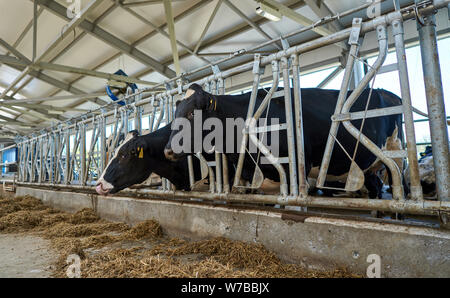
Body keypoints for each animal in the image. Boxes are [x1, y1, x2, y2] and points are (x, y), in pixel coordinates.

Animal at [165, 84, 408, 198]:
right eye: (176, 113)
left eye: (192, 114)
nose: (168, 150)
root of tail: (387, 93)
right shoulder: (248, 172)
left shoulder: (298, 166)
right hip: (370, 165)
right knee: (376, 186)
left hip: (396, 156)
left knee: (400, 185)